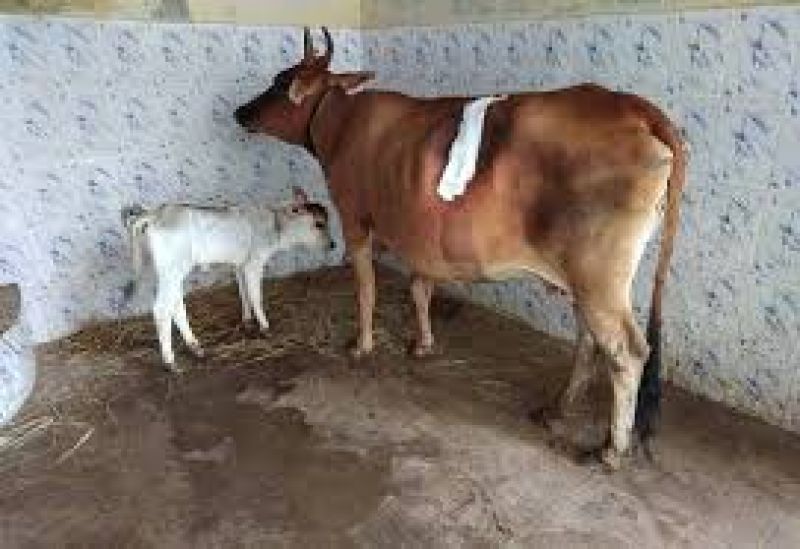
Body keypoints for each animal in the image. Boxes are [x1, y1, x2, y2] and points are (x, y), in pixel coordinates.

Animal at [121, 187, 334, 372]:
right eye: (319, 224)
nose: (332, 244)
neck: (275, 224)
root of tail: (155, 213)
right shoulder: (254, 261)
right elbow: (256, 296)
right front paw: (265, 326)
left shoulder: (238, 265)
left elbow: (243, 292)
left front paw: (247, 320)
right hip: (173, 269)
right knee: (161, 309)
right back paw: (170, 361)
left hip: (167, 273)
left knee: (176, 305)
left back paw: (194, 346)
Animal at [233, 27, 687, 469]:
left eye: (280, 82)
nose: (241, 113)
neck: (342, 123)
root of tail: (628, 104)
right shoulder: (421, 233)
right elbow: (420, 288)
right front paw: (423, 343)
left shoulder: (355, 218)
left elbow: (366, 287)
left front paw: (361, 345)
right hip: (584, 280)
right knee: (590, 340)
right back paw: (556, 409)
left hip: (599, 277)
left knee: (627, 352)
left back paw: (611, 449)